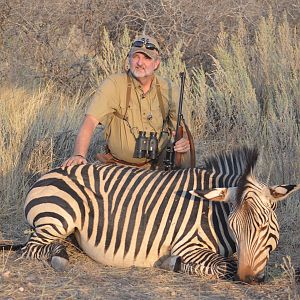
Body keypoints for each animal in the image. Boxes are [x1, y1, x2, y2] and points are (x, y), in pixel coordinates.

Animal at [1, 148, 298, 284]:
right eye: (234, 227)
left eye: (264, 227)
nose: (248, 278)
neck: (213, 213)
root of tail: (51, 172)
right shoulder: (187, 245)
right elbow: (223, 265)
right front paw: (172, 264)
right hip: (59, 217)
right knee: (31, 249)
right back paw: (59, 255)